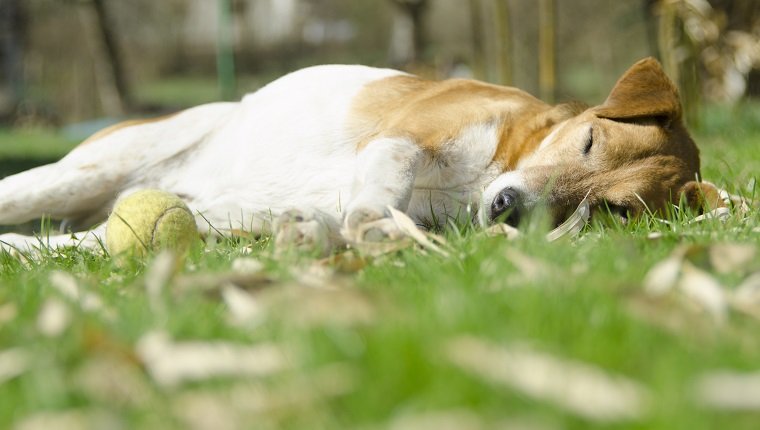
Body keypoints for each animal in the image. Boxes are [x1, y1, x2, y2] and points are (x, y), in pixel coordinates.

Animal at [0, 57, 724, 252]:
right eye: (589, 140)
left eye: (614, 210)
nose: (508, 209)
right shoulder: (405, 137)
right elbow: (386, 185)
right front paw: (374, 220)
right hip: (81, 174)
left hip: (180, 222)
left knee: (70, 247)